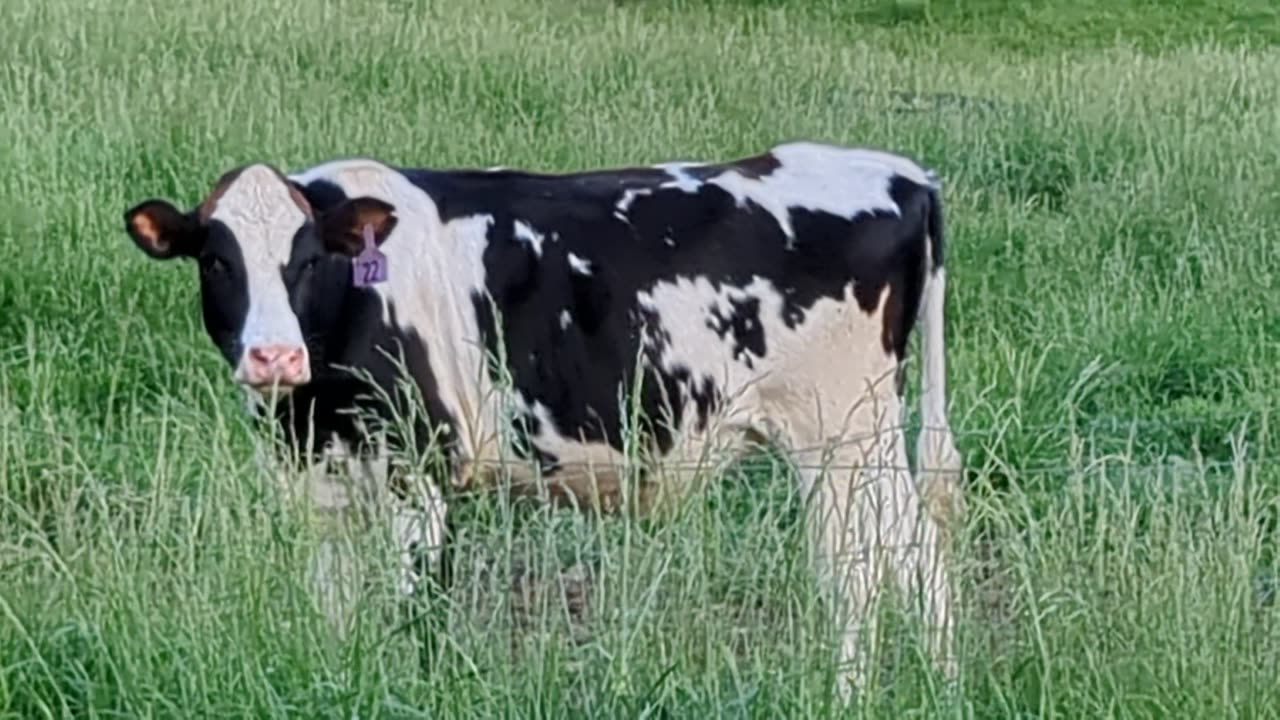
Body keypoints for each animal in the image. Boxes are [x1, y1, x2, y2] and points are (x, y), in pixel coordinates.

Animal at [122, 140, 962, 696]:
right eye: (217, 260)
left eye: (305, 259)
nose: (272, 356)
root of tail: (900, 171)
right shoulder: (317, 480)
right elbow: (334, 601)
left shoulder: (420, 470)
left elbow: (419, 611)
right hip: (866, 440)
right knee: (916, 552)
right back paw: (940, 681)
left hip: (839, 432)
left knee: (858, 572)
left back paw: (849, 693)